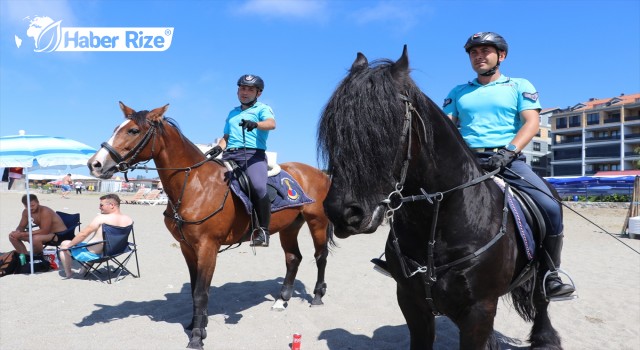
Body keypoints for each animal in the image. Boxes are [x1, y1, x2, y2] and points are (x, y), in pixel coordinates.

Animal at [89, 101, 336, 348]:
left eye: (133, 130)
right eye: (116, 128)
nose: (95, 164)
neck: (195, 185)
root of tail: (320, 174)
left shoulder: (207, 247)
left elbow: (201, 292)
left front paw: (197, 337)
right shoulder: (187, 248)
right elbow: (194, 289)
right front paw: (195, 325)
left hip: (317, 222)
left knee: (320, 256)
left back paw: (317, 296)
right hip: (290, 227)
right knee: (293, 258)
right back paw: (281, 300)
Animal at [318, 45, 564, 348]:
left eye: (386, 125)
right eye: (334, 128)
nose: (341, 212)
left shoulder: (479, 310)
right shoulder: (411, 302)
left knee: (542, 299)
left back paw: (545, 337)